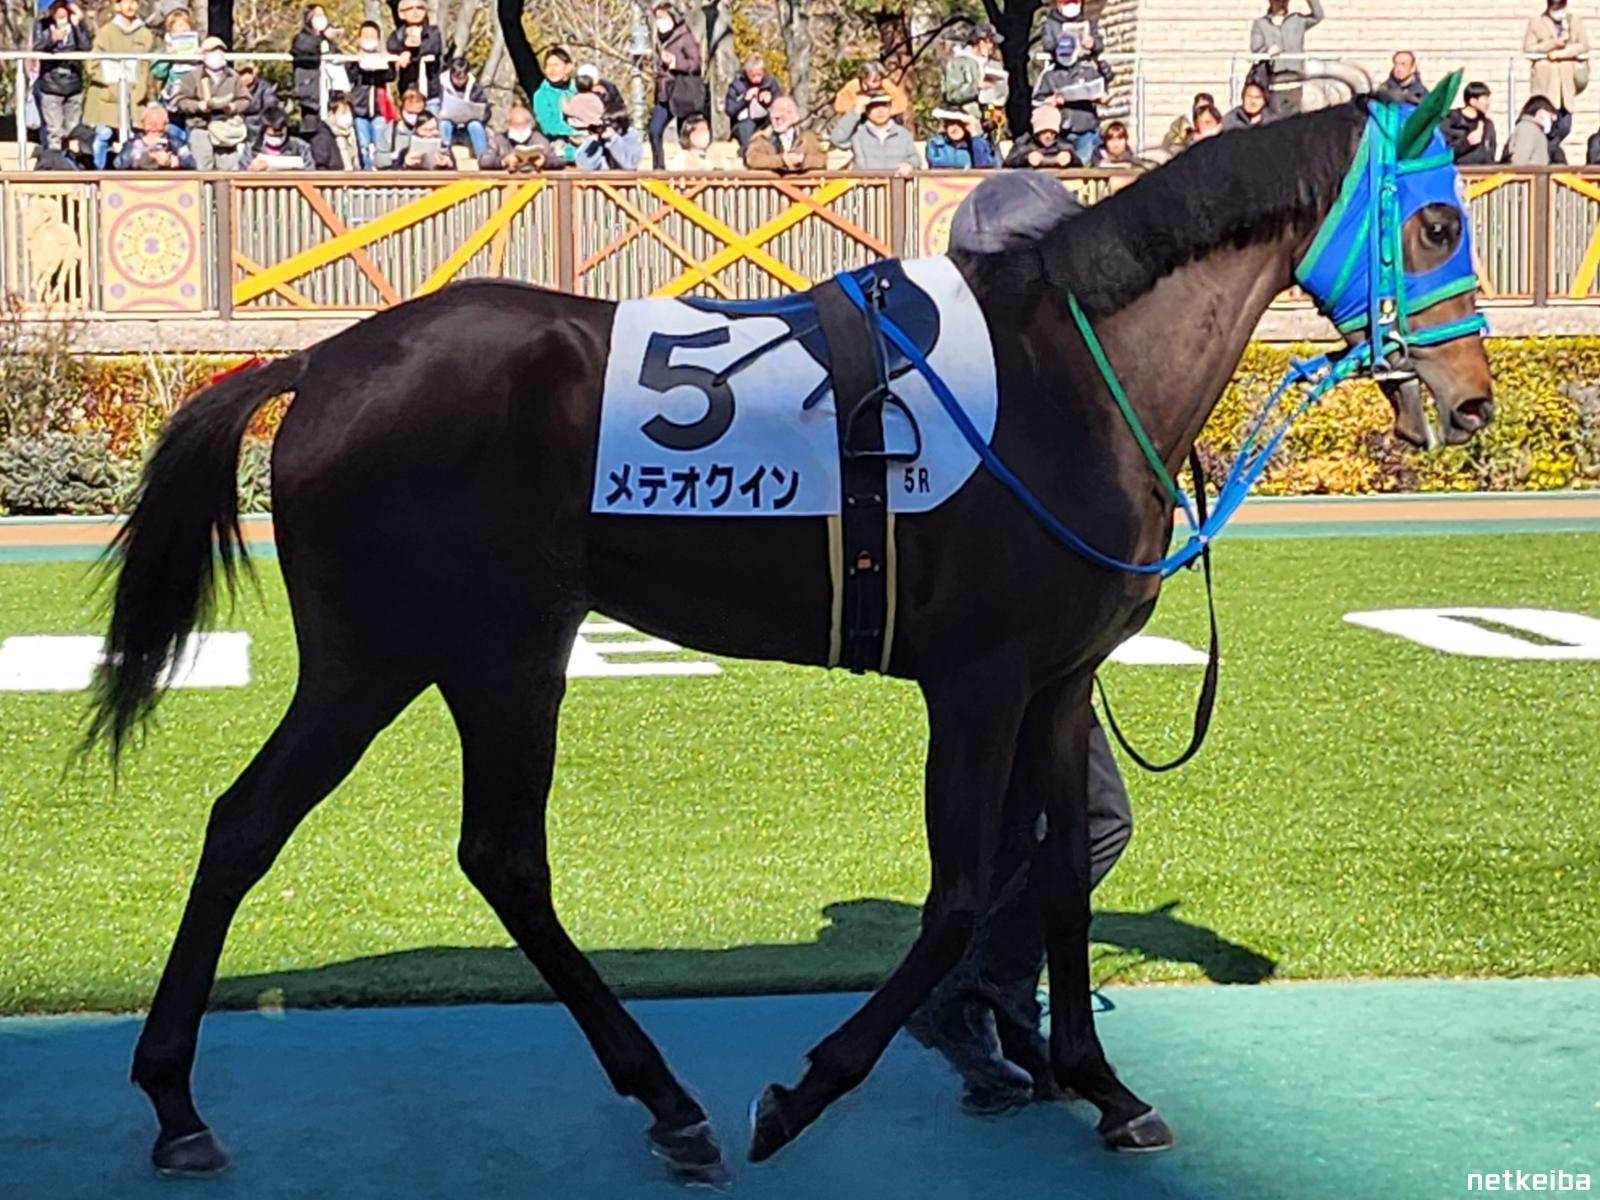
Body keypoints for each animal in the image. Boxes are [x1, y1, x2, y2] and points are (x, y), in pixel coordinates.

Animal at [89, 89, 1492, 1185]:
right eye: (1437, 222)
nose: (1471, 402)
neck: (1072, 381)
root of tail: (320, 365)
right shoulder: (975, 684)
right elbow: (959, 894)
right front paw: (808, 1089)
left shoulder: (1054, 684)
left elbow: (1060, 885)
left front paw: (1100, 1085)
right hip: (465, 650)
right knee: (461, 851)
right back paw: (653, 1100)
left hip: (407, 655)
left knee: (275, 829)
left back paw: (184, 1098)